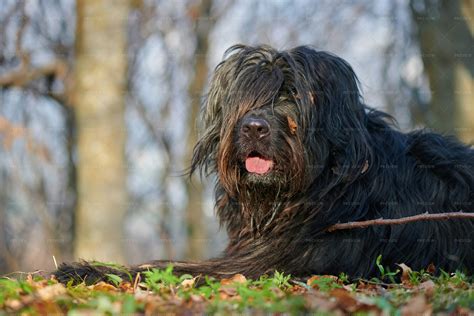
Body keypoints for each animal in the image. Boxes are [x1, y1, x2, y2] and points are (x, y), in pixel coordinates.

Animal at [53, 44, 472, 284]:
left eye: (293, 95)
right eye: (245, 97)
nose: (253, 127)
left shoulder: (272, 263)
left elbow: (172, 267)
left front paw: (85, 269)